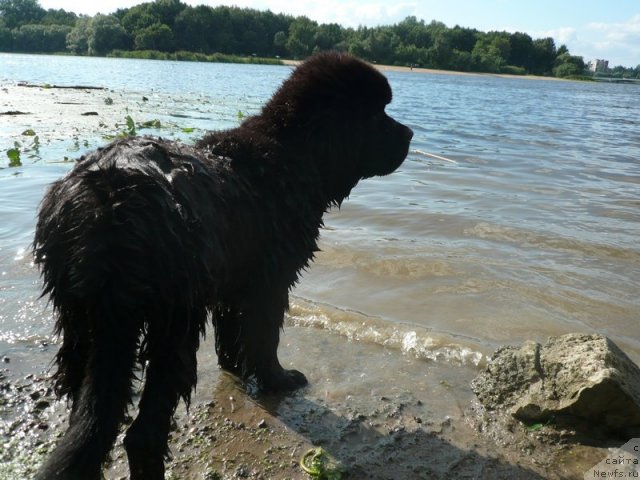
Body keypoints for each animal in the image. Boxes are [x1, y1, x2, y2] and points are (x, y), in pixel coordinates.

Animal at [33, 50, 416, 478]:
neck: (293, 153)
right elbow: (265, 337)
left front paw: (234, 368)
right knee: (143, 433)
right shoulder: (270, 281)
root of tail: (107, 209)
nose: (410, 135)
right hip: (173, 320)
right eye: (376, 115)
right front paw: (278, 379)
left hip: (76, 316)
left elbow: (232, 334)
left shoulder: (232, 281)